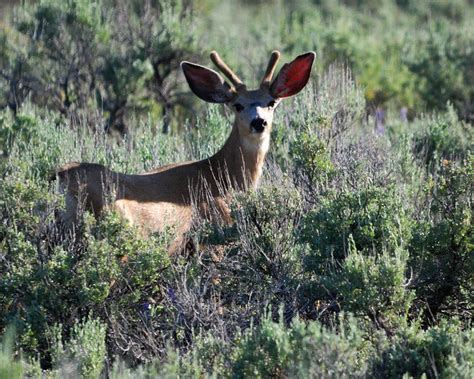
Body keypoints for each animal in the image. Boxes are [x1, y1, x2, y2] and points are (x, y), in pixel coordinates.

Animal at [52, 50, 314, 252]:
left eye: (271, 102)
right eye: (237, 105)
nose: (259, 122)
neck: (224, 178)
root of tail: (61, 177)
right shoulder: (216, 230)